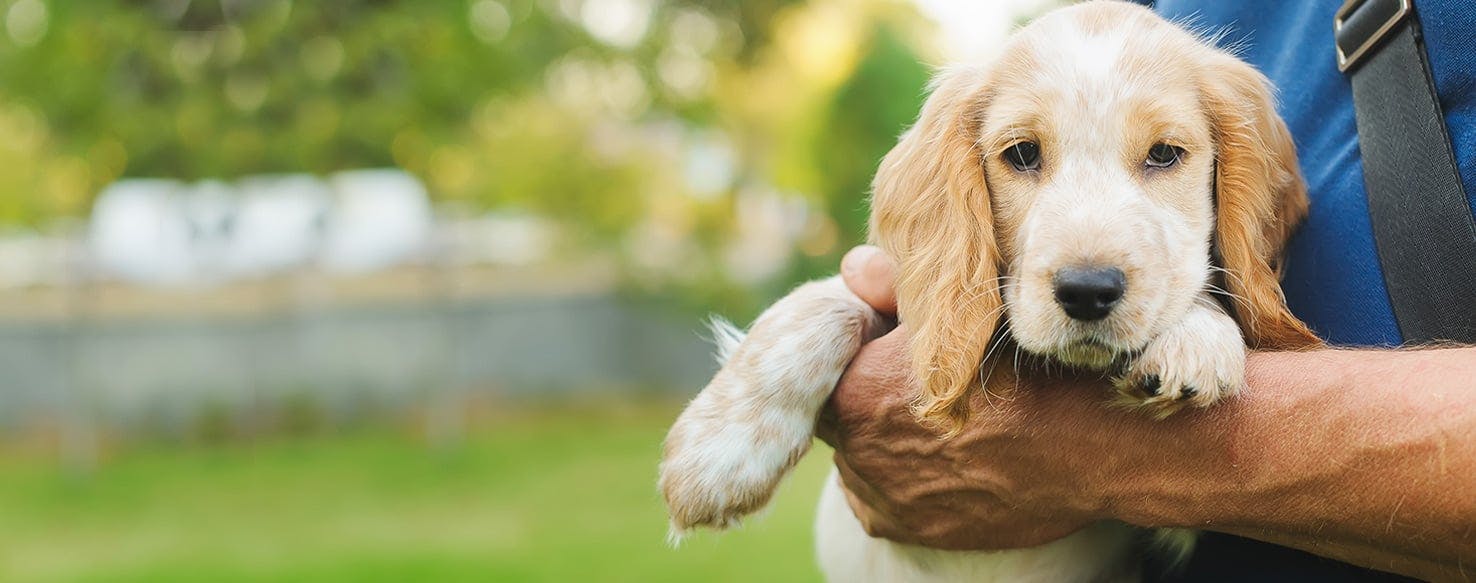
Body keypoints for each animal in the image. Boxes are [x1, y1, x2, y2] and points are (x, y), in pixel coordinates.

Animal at [664, 2, 1322, 581]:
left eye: (1165, 154)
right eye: (1022, 153)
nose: (1087, 291)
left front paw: (1197, 336)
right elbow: (820, 302)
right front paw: (717, 452)